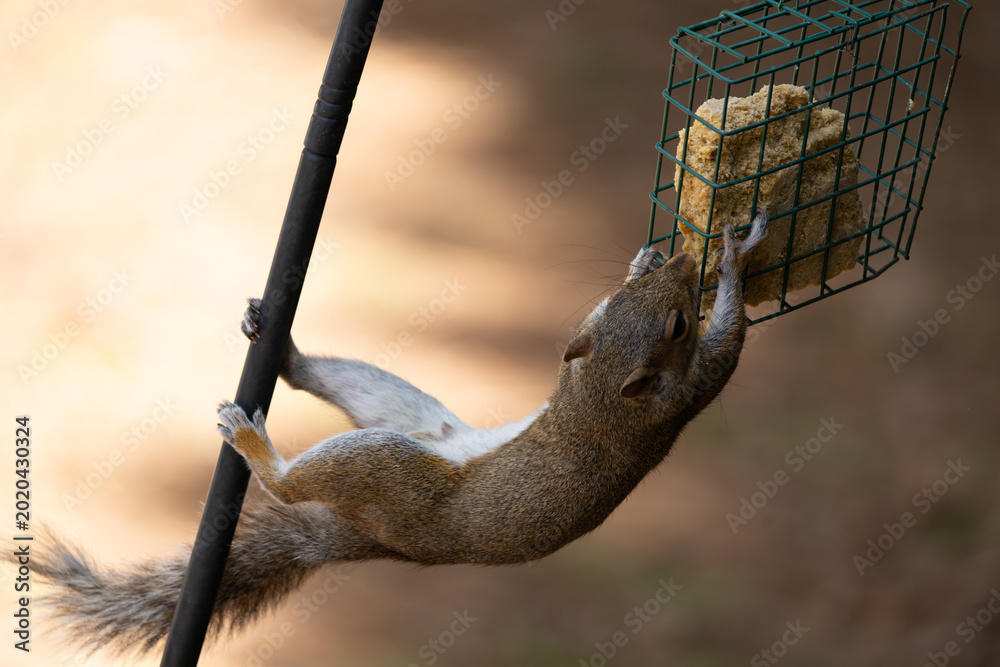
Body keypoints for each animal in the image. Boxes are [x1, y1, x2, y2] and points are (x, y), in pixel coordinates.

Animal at [23, 211, 767, 656]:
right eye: (632, 304)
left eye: (678, 323)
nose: (685, 264)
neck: (604, 384)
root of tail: (372, 538)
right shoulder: (584, 354)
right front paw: (656, 254)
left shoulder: (684, 391)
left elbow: (730, 346)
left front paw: (733, 258)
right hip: (399, 416)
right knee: (326, 384)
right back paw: (284, 349)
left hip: (388, 467)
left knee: (290, 487)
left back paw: (259, 449)